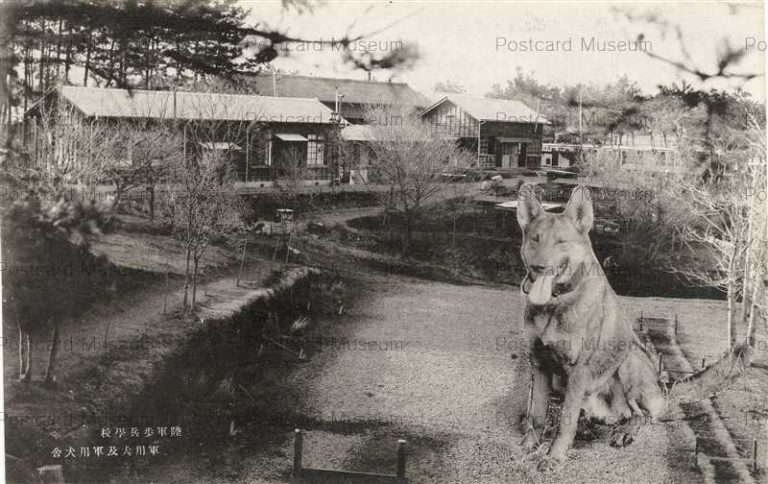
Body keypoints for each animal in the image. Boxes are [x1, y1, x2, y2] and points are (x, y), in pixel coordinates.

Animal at [516, 182, 752, 468]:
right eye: (535, 239)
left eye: (561, 241)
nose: (539, 267)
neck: (555, 303)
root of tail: (663, 391)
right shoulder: (539, 365)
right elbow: (536, 413)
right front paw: (529, 446)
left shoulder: (579, 370)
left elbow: (566, 418)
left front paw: (555, 456)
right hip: (566, 384)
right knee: (605, 414)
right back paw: (590, 425)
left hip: (630, 361)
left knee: (640, 415)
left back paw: (624, 432)